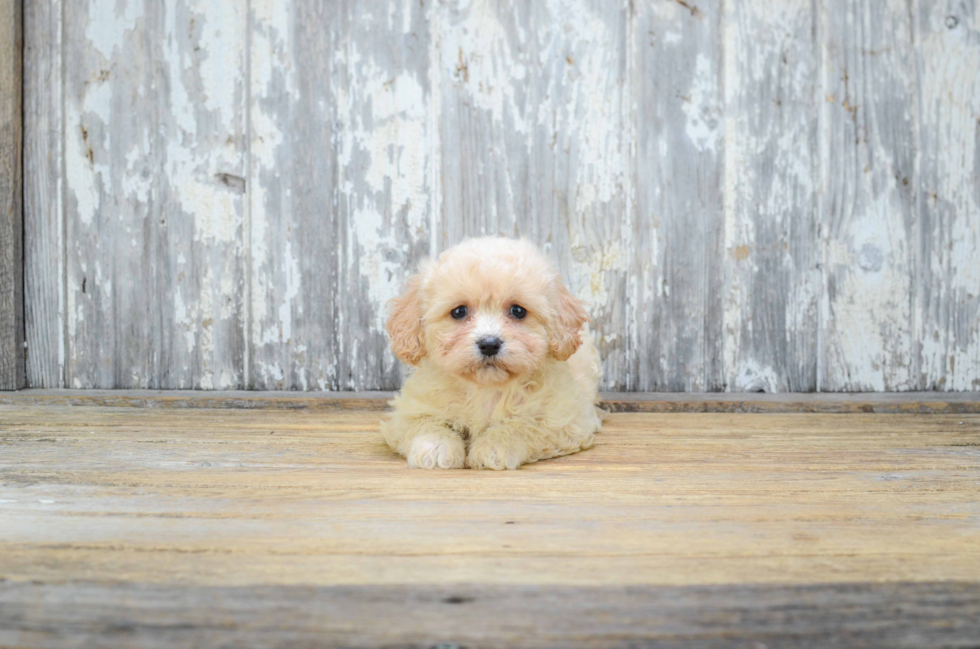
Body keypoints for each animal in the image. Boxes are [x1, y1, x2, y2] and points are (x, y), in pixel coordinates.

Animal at [380, 235, 604, 468]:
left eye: (518, 311)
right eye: (459, 311)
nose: (489, 344)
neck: (486, 389)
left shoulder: (564, 419)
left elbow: (523, 426)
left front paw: (494, 447)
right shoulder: (410, 411)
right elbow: (426, 423)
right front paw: (435, 448)